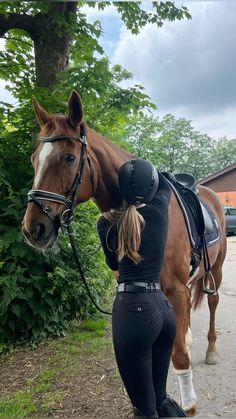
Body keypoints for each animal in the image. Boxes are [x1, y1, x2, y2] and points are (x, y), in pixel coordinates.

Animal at [22, 91, 227, 416]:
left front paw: (189, 405)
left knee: (213, 301)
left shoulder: (175, 289)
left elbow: (178, 355)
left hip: (215, 270)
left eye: (69, 158)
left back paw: (210, 350)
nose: (33, 228)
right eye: (34, 160)